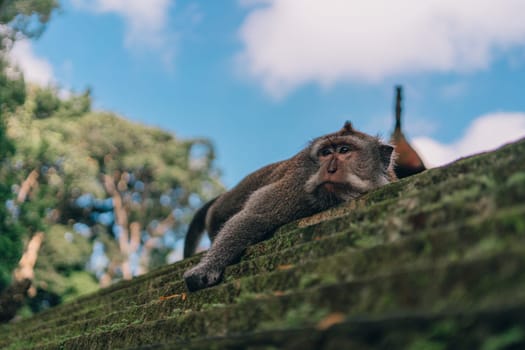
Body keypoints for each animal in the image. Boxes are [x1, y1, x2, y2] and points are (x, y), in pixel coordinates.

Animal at [182, 121, 396, 292]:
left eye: (344, 150)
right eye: (326, 153)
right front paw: (206, 268)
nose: (330, 169)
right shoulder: (297, 186)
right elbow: (254, 216)